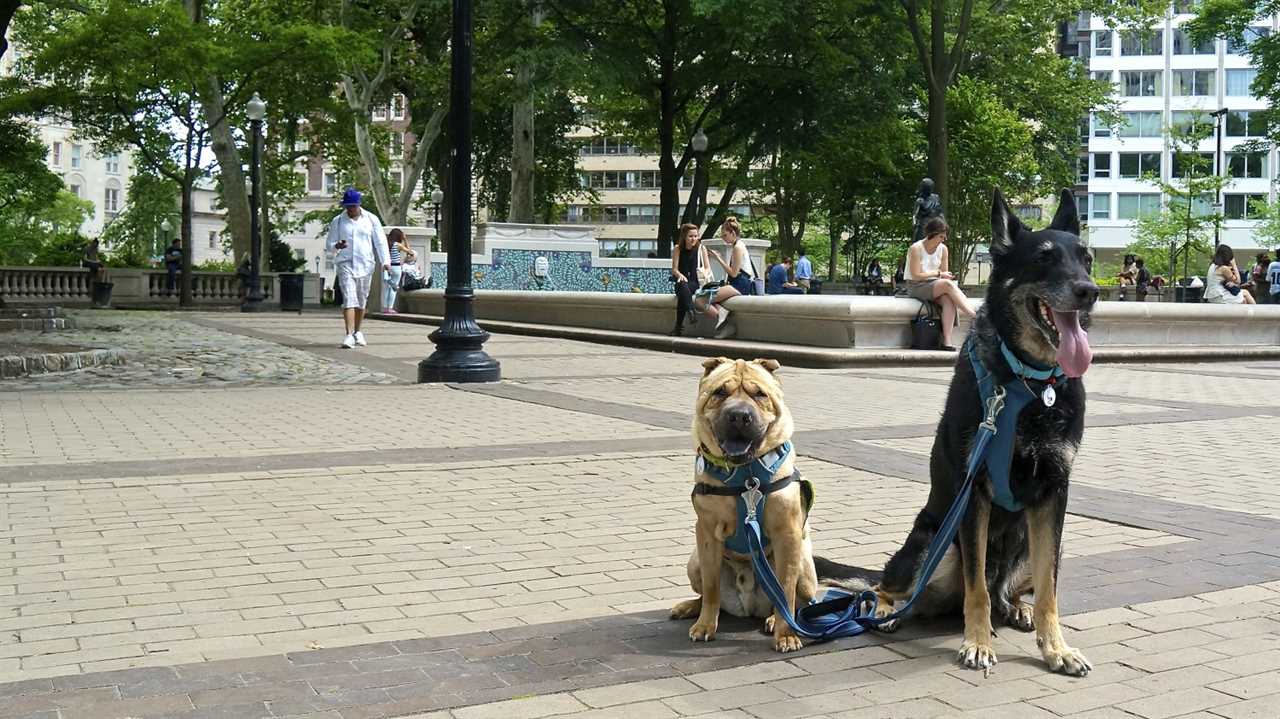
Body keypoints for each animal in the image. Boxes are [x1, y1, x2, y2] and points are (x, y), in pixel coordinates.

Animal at [670, 355, 819, 652]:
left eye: (759, 394)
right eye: (720, 392)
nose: (739, 415)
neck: (745, 474)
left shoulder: (787, 534)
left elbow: (785, 590)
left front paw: (786, 635)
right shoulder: (706, 534)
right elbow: (712, 587)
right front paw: (705, 626)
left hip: (805, 570)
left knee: (795, 601)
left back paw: (773, 619)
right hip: (693, 561)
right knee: (708, 593)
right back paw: (689, 608)